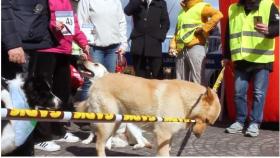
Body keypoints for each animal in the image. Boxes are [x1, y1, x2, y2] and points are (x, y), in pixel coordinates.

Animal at [80, 61, 221, 156]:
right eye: (207, 120)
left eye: (210, 123)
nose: (198, 136)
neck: (185, 99)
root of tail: (99, 80)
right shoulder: (163, 134)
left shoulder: (167, 138)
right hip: (108, 123)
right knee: (99, 145)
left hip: (116, 123)